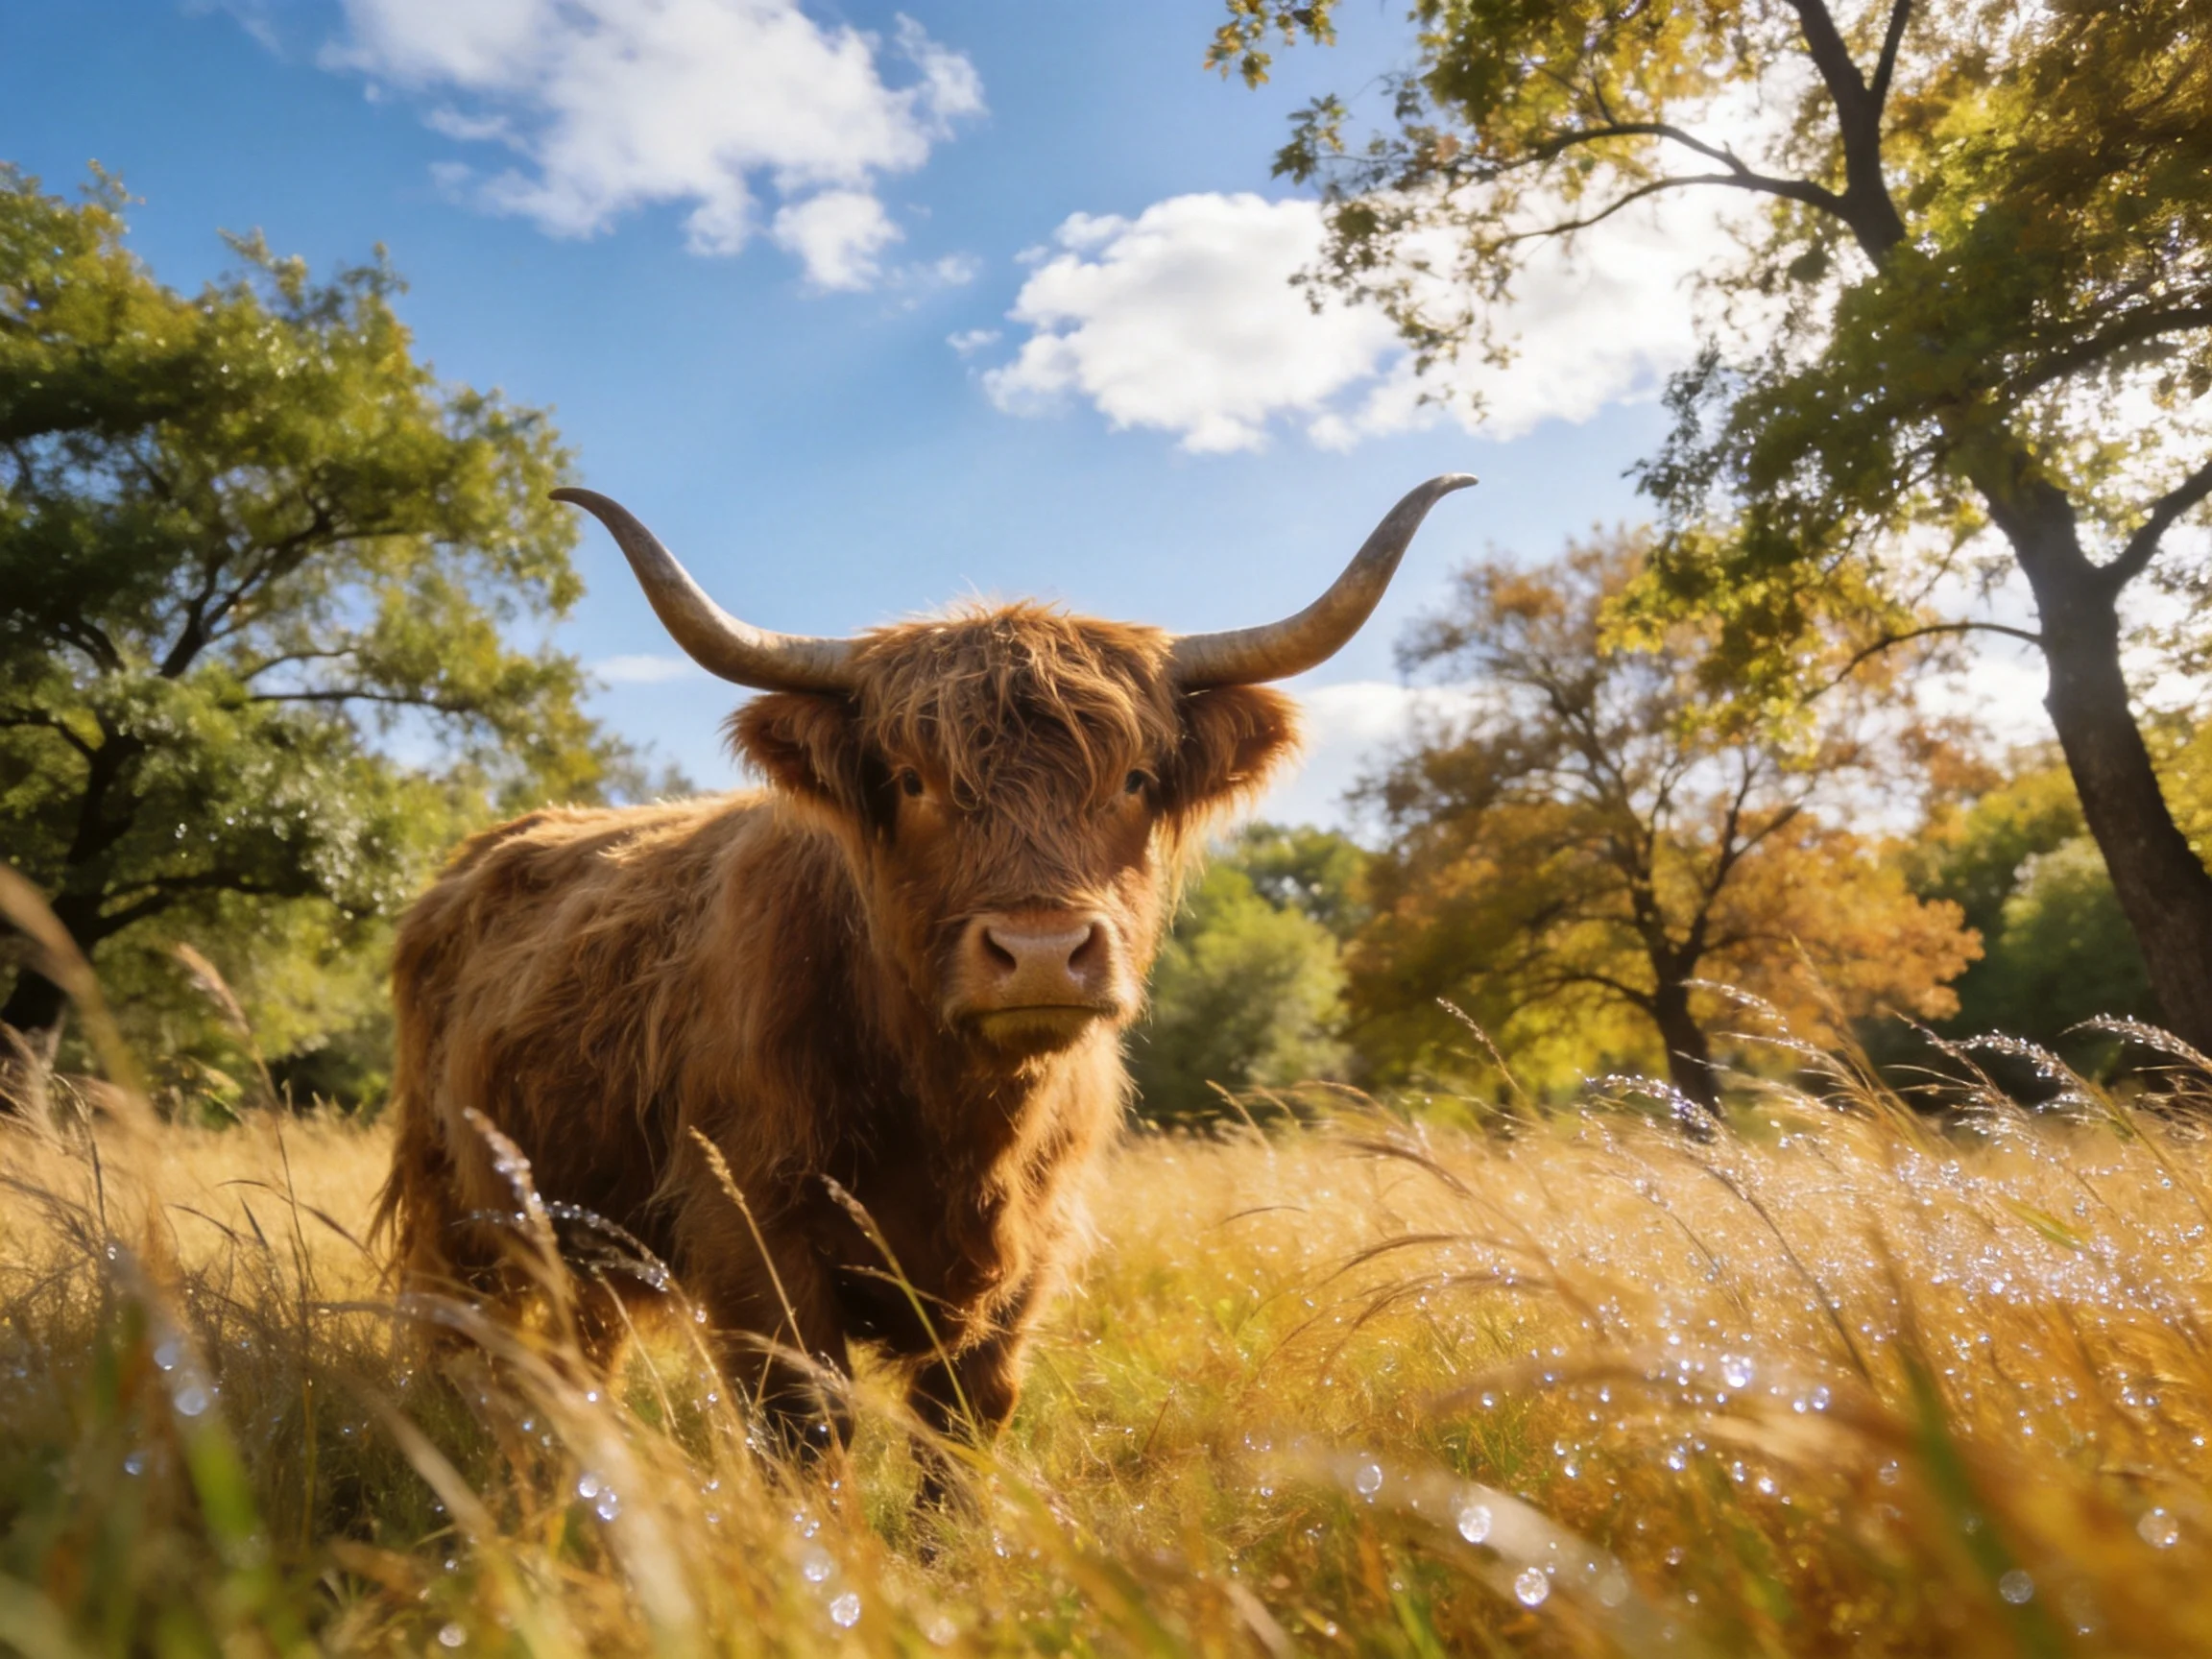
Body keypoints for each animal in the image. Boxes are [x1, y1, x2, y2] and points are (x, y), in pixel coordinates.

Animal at [375, 475, 1474, 1458]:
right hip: (459, 1199)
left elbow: (961, 1435)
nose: (1041, 953)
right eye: (912, 781)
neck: (958, 1120)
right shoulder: (751, 1232)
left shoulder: (1026, 1263)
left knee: (580, 1348)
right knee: (467, 1336)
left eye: (1133, 779)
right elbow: (806, 1428)